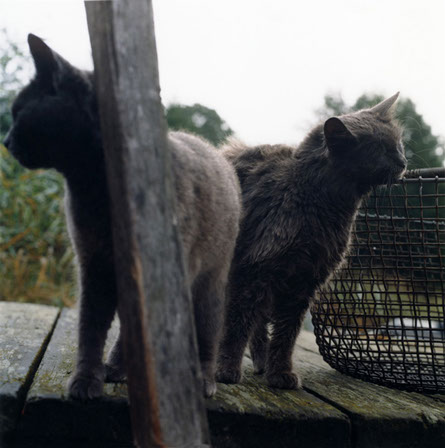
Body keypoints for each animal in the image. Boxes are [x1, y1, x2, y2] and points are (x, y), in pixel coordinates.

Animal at [4, 34, 241, 399]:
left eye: (19, 111)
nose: (6, 139)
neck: (93, 185)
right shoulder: (93, 264)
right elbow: (91, 327)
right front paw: (88, 378)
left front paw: (116, 369)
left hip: (209, 279)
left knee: (207, 329)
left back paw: (204, 379)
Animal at [216, 94, 406, 389]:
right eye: (379, 150)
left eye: (398, 144)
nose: (403, 161)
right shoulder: (253, 270)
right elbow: (236, 326)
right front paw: (225, 370)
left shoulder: (303, 282)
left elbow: (286, 335)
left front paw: (280, 374)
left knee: (258, 324)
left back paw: (261, 363)